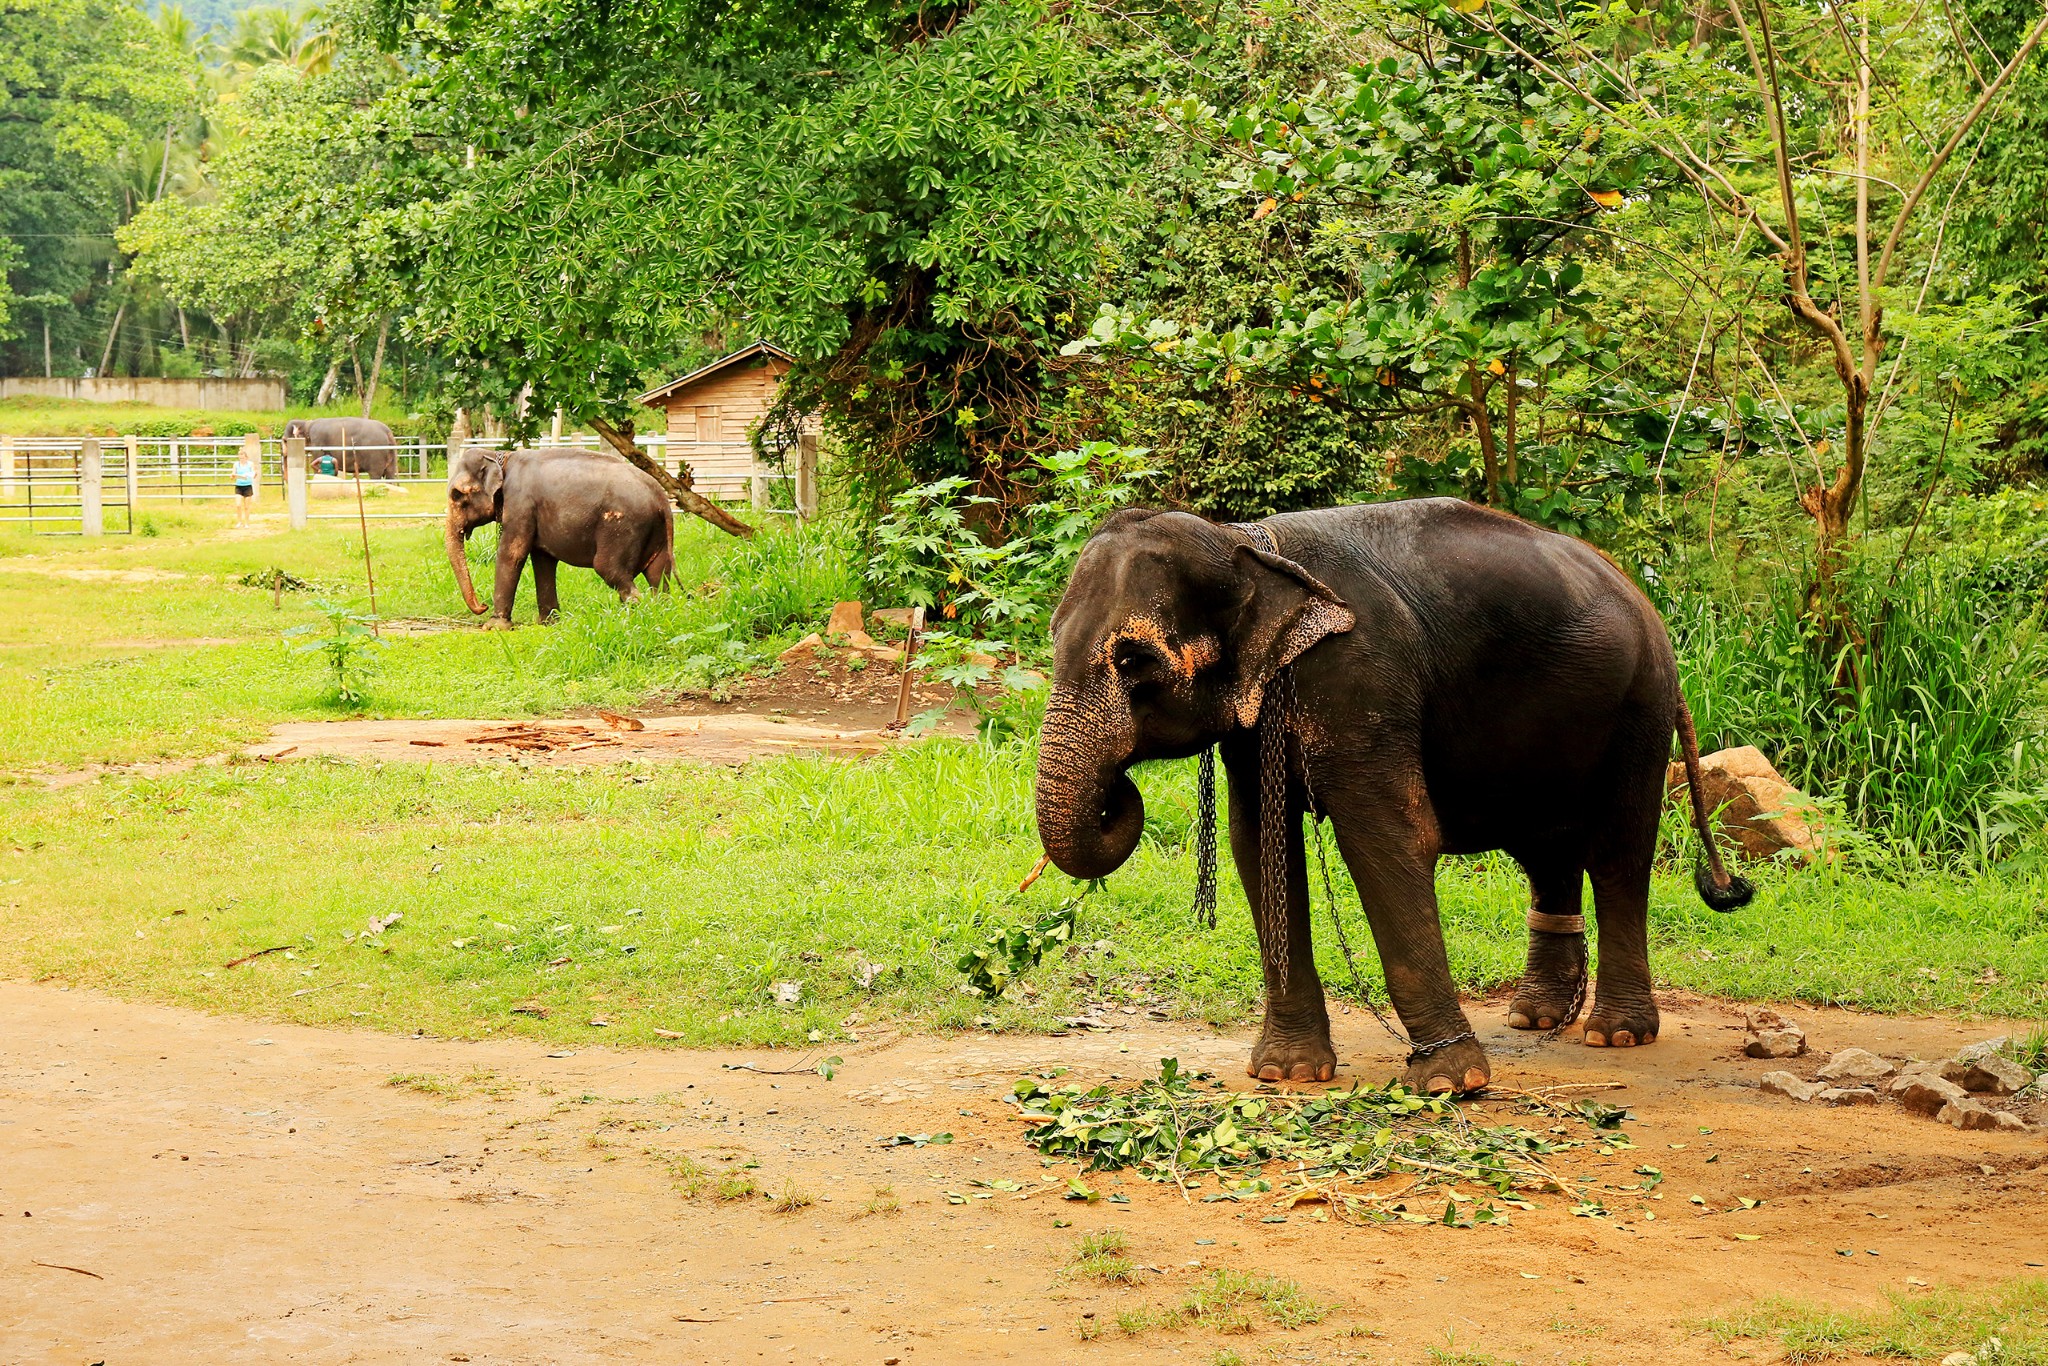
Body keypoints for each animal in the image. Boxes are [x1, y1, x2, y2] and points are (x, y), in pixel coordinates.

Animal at [444, 444, 675, 626]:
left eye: (457, 495)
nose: (482, 605)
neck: (501, 456)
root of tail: (661, 498)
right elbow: (542, 560)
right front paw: (548, 622)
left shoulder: (520, 505)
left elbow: (512, 554)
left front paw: (494, 627)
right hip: (655, 533)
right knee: (659, 574)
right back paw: (659, 612)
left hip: (622, 527)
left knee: (609, 568)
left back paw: (633, 616)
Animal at [1032, 501, 1753, 1097]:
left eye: (1135, 660)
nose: (1118, 790)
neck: (1250, 543)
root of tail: (1641, 596)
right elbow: (1258, 845)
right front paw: (1287, 1075)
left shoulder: (1363, 678)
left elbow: (1387, 836)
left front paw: (1451, 1084)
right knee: (1547, 850)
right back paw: (1535, 1016)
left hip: (1640, 705)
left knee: (1618, 853)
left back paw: (1617, 1034)